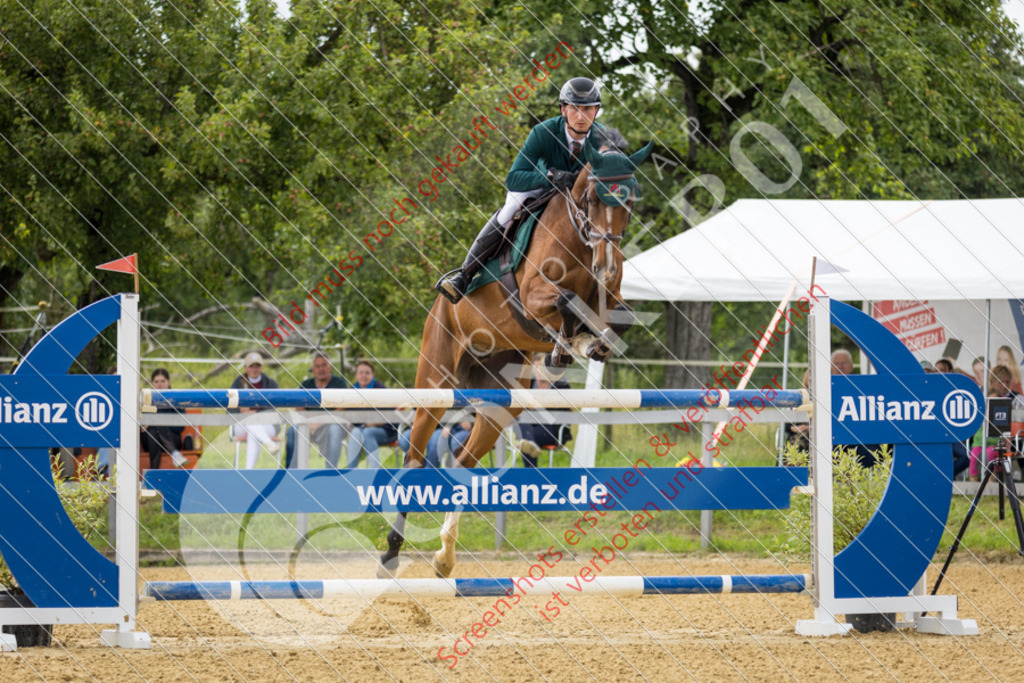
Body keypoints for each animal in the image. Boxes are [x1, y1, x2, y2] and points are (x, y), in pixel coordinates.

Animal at [380, 131, 651, 581]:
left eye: (631, 201)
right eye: (593, 197)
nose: (607, 265)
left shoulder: (609, 300)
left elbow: (616, 318)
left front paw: (584, 345)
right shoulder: (532, 296)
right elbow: (565, 301)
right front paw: (567, 346)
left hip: (500, 404)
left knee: (463, 462)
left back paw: (445, 557)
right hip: (436, 382)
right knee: (414, 458)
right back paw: (391, 553)